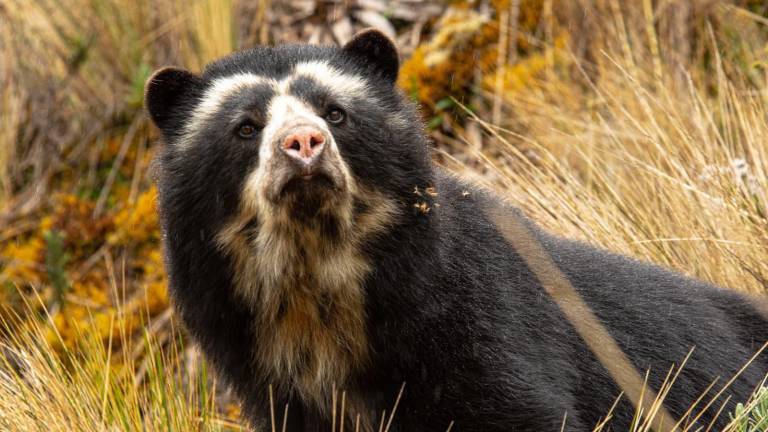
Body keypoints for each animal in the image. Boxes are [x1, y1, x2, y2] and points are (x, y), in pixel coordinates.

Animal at [144, 29, 768, 431]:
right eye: (246, 128)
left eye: (336, 113)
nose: (303, 143)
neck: (320, 286)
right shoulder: (272, 378)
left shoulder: (474, 327)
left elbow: (519, 411)